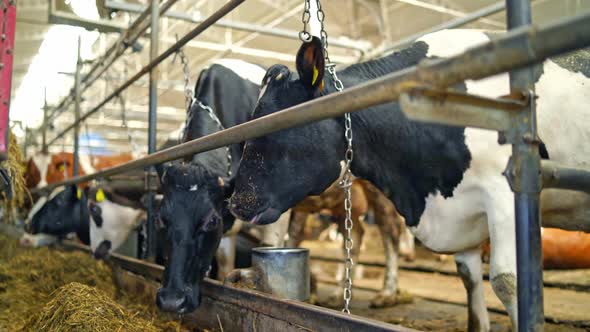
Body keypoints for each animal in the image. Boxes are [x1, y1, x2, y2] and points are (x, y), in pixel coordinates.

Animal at [230, 29, 590, 330]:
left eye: (278, 123)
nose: (236, 203)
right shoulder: (461, 211)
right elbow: (470, 279)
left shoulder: (503, 190)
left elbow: (506, 279)